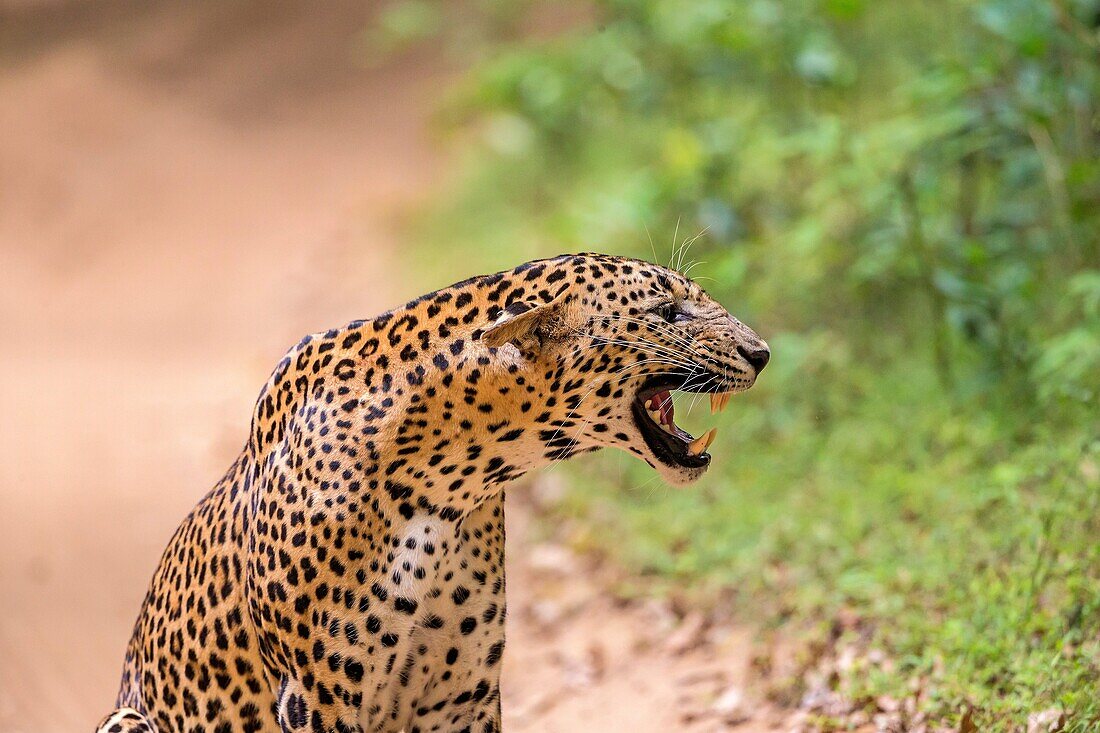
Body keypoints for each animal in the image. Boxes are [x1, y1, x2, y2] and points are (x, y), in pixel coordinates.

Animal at [94, 253, 770, 730]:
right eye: (668, 313)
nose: (762, 352)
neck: (451, 481)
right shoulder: (316, 695)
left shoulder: (462, 692)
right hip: (125, 718)